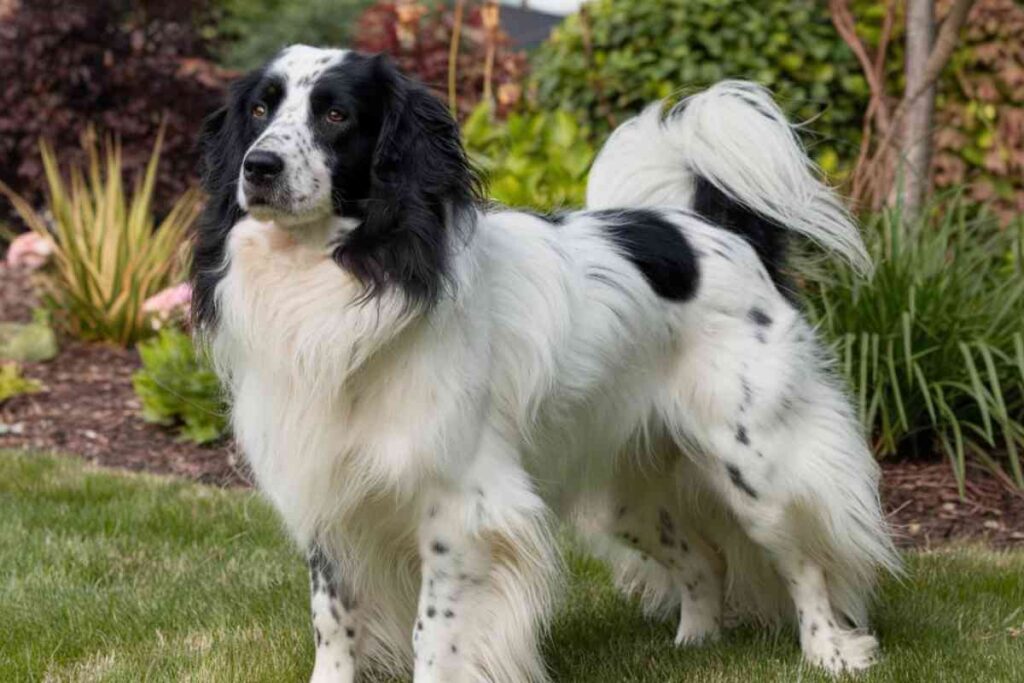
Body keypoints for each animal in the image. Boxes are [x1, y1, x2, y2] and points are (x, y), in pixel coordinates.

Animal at [192, 45, 897, 679]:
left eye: (337, 115)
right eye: (259, 109)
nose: (259, 167)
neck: (338, 273)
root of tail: (722, 231)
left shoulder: (462, 507)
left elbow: (434, 632)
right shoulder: (329, 497)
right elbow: (333, 621)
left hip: (755, 466)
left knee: (804, 559)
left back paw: (830, 652)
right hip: (627, 496)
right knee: (705, 561)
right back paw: (695, 644)